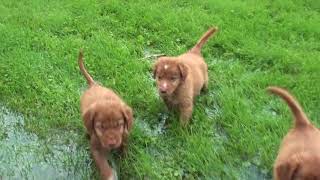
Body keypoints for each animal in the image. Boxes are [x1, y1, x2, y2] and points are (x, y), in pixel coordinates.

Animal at [79, 49, 134, 180]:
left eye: (119, 125)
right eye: (101, 127)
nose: (112, 143)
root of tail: (94, 85)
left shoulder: (124, 134)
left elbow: (124, 146)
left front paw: (124, 159)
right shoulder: (95, 148)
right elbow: (103, 165)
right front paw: (109, 175)